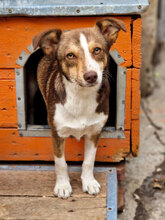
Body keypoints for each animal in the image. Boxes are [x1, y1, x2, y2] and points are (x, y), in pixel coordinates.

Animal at [32, 18, 126, 199]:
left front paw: (89, 182)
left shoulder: (94, 132)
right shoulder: (57, 134)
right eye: (70, 55)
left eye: (97, 50)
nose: (91, 76)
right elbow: (60, 163)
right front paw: (63, 186)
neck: (81, 96)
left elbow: (88, 161)